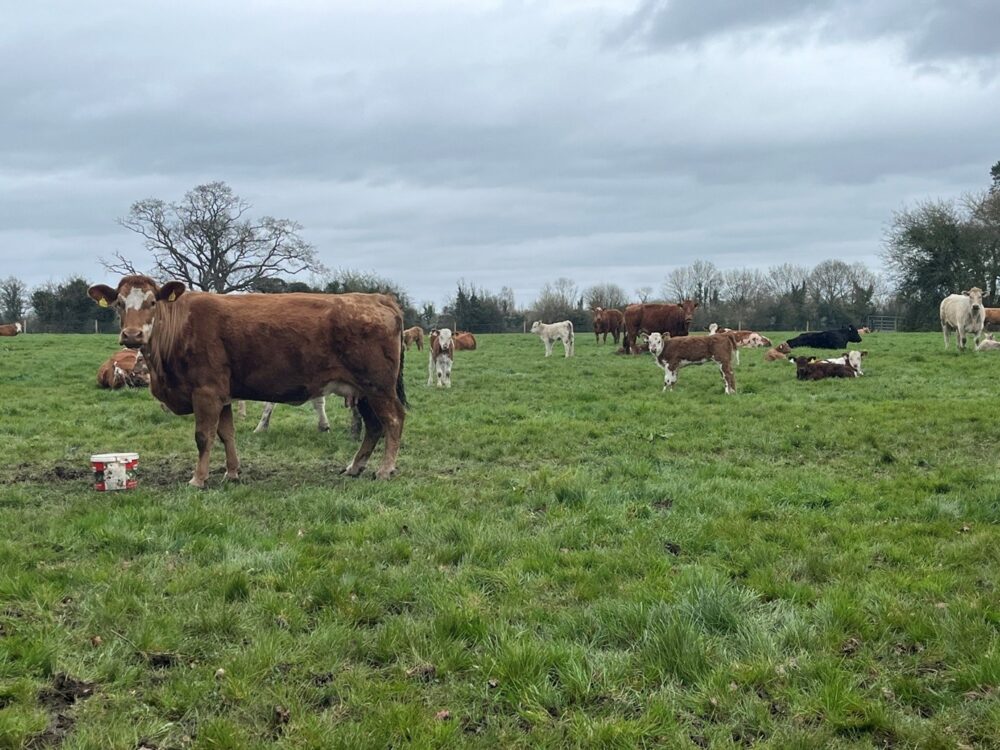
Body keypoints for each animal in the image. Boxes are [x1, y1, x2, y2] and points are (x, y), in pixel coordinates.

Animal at [88, 275, 407, 487]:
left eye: (152, 302)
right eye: (119, 304)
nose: (132, 335)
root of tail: (376, 298)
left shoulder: (206, 393)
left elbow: (203, 437)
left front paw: (198, 479)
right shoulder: (222, 396)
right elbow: (226, 434)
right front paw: (232, 472)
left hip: (378, 387)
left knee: (393, 420)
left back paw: (385, 469)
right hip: (362, 391)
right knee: (374, 427)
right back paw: (355, 466)